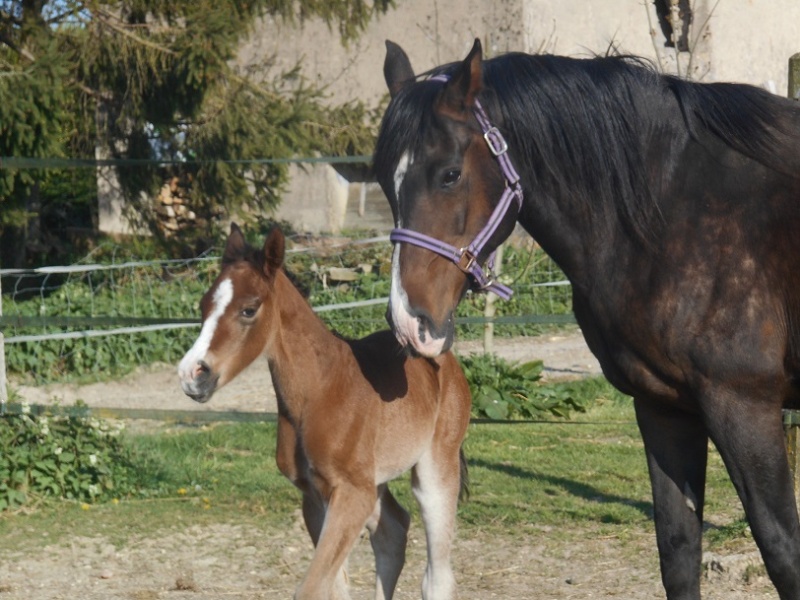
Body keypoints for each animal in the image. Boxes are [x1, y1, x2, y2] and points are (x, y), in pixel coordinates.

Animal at [178, 225, 472, 600]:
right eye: (204, 305)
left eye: (248, 309)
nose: (192, 375)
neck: (319, 390)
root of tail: (443, 357)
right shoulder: (316, 495)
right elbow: (333, 586)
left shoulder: (351, 493)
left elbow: (312, 587)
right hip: (375, 480)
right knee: (392, 529)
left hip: (435, 465)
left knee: (437, 573)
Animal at [376, 38, 800, 600]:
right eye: (386, 182)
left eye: (450, 173)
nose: (409, 323)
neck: (676, 211)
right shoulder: (663, 406)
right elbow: (678, 551)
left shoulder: (743, 406)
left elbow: (782, 551)